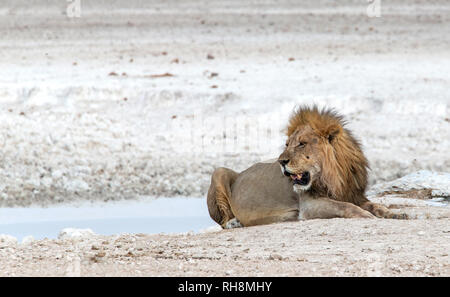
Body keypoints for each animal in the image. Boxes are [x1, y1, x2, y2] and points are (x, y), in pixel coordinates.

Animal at [207, 105, 408, 228]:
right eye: (287, 144)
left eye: (302, 144)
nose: (281, 161)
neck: (333, 177)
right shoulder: (309, 205)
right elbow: (344, 206)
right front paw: (367, 216)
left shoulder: (354, 194)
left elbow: (375, 205)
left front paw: (394, 214)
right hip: (219, 172)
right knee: (223, 221)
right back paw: (234, 222)